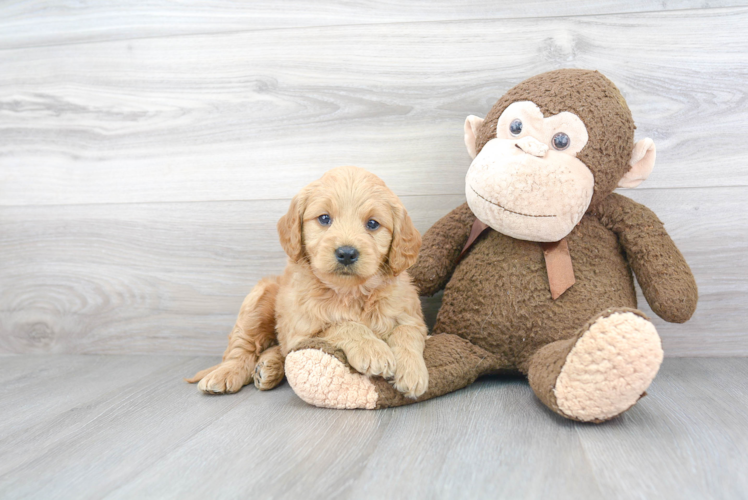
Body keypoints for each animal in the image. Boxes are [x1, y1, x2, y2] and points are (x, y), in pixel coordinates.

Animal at [187, 166, 430, 400]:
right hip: (258, 299)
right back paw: (226, 373)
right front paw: (372, 350)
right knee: (242, 348)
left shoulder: (411, 316)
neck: (349, 292)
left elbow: (406, 332)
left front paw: (412, 373)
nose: (347, 253)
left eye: (372, 224)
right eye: (324, 219)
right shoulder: (303, 330)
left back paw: (267, 367)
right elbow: (342, 325)